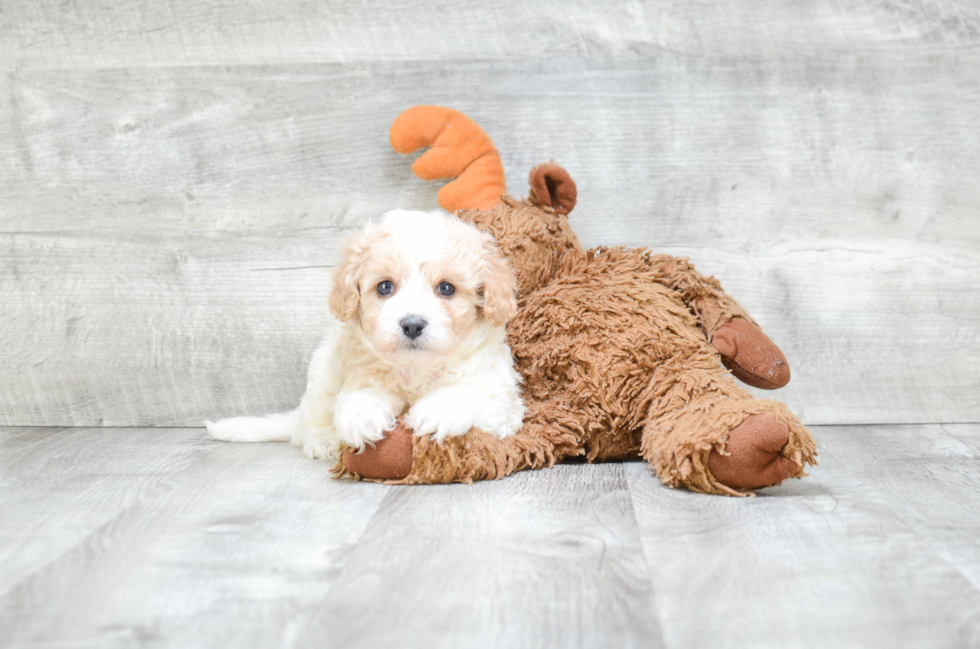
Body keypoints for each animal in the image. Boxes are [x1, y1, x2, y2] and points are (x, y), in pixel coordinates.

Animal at [208, 209, 528, 460]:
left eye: (446, 288)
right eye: (385, 287)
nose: (412, 325)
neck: (416, 370)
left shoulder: (501, 399)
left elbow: (468, 392)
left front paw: (436, 412)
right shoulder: (360, 369)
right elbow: (361, 393)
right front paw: (362, 416)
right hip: (323, 370)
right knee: (313, 419)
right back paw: (322, 441)